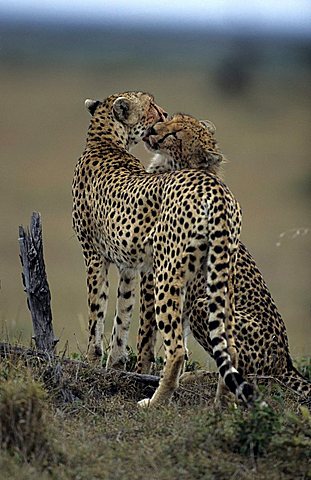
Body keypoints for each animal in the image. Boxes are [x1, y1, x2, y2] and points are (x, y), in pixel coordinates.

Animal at [72, 92, 256, 406]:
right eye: (153, 107)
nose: (163, 115)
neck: (104, 141)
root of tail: (215, 187)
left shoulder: (94, 256)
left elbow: (97, 315)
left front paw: (92, 364)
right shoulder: (130, 266)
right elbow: (122, 316)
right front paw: (115, 366)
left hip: (169, 275)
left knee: (178, 349)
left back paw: (155, 402)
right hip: (218, 277)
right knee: (229, 346)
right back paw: (223, 404)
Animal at [140, 113, 311, 402]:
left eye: (175, 135)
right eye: (169, 118)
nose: (152, 130)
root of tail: (285, 361)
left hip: (204, 306)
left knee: (251, 374)